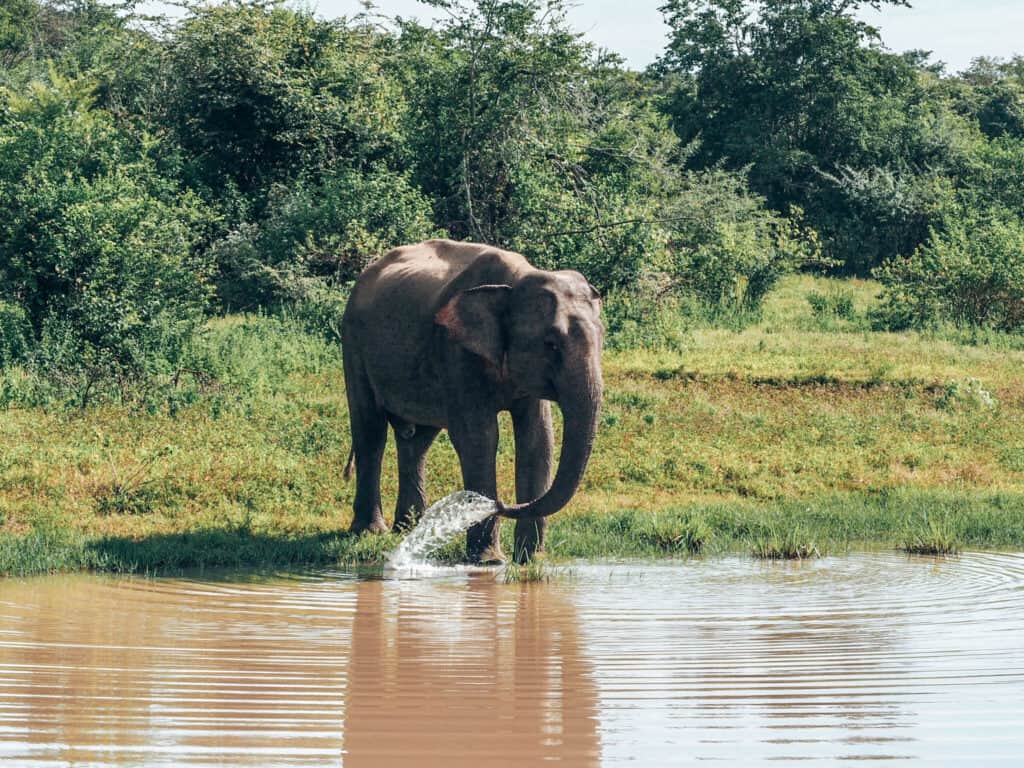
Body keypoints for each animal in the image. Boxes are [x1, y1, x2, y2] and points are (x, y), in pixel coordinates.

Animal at [339, 239, 602, 565]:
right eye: (551, 344)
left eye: (602, 339)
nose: (500, 503)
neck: (515, 281)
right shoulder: (456, 350)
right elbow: (480, 438)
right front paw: (489, 561)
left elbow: (537, 440)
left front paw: (530, 560)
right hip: (353, 343)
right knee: (370, 430)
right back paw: (371, 531)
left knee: (417, 441)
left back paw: (409, 527)